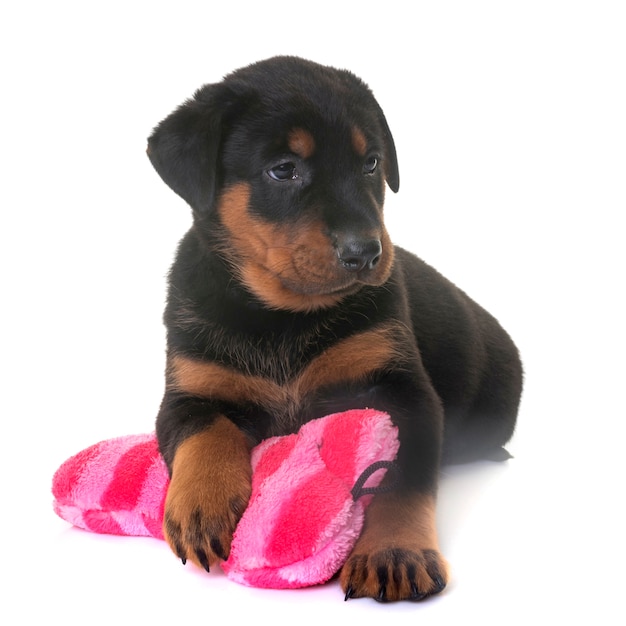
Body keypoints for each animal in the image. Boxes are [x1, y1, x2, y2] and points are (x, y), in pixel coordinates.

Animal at [146, 57, 520, 600]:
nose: (365, 252)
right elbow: (204, 432)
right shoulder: (191, 388)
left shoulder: (404, 392)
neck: (282, 316)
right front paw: (201, 506)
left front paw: (394, 552)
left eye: (372, 163)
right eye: (283, 169)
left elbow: (398, 479)